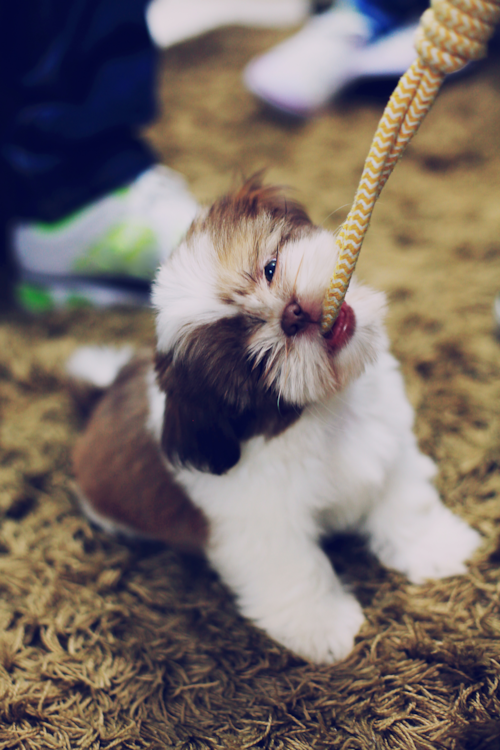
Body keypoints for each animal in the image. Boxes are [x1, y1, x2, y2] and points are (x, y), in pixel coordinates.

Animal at [69, 176, 480, 664]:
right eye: (254, 363)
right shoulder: (263, 525)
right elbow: (296, 571)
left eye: (269, 268)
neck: (326, 412)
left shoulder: (389, 445)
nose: (292, 314)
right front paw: (323, 628)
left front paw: (435, 547)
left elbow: (406, 503)